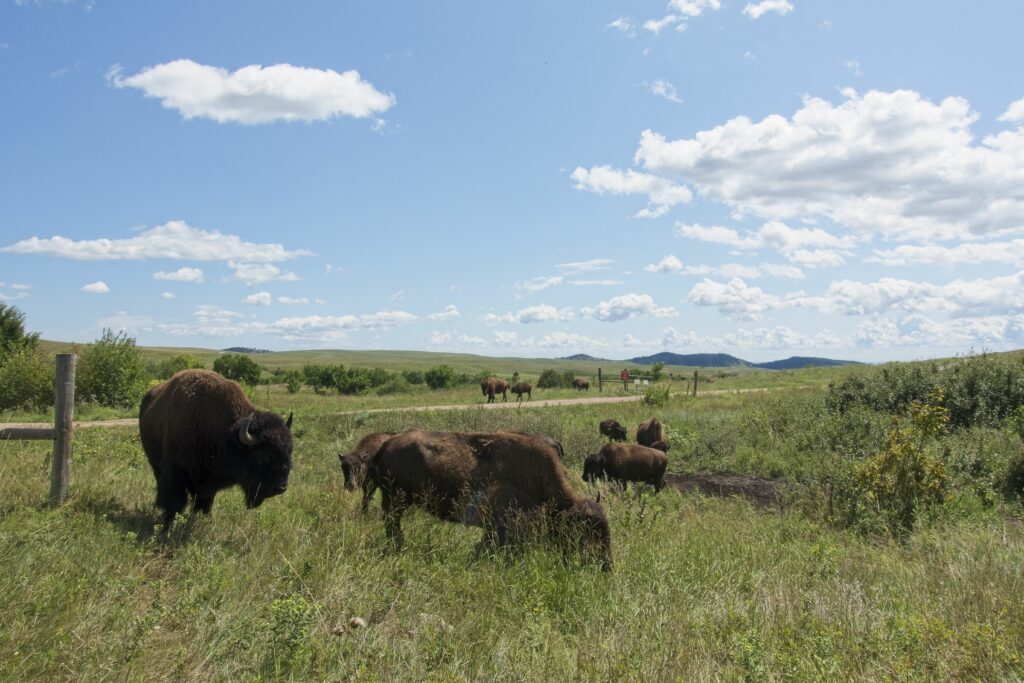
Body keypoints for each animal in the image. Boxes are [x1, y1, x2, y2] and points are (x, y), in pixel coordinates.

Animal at [139, 370, 296, 532]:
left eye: (290, 451)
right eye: (263, 455)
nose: (281, 487)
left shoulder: (209, 481)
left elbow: (206, 502)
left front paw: (205, 521)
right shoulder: (175, 472)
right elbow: (175, 500)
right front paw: (167, 527)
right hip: (155, 464)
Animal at [366, 432, 606, 573]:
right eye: (589, 531)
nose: (606, 566)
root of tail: (386, 445)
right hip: (396, 499)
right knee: (392, 524)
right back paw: (397, 547)